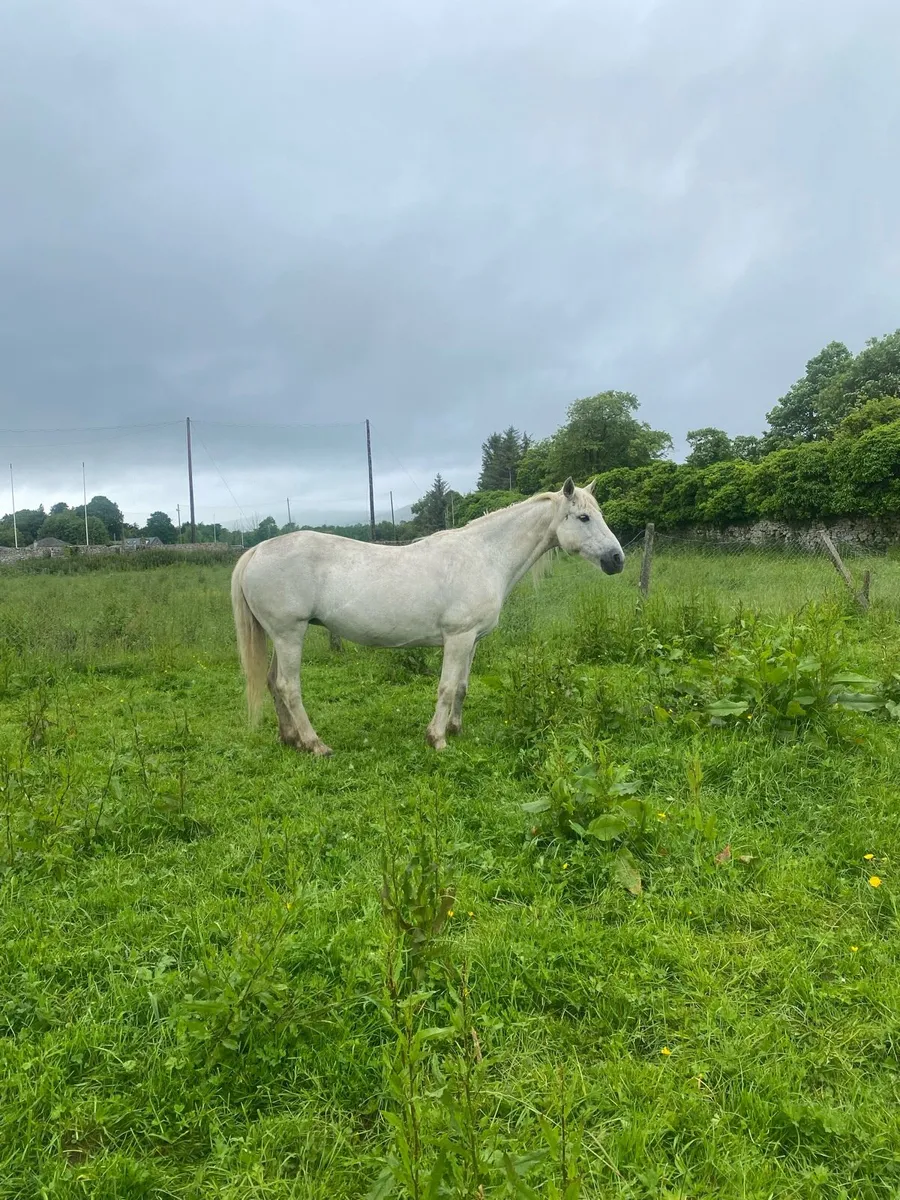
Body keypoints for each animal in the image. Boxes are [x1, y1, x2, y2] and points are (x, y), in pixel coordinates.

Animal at [231, 477, 624, 755]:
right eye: (584, 517)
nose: (617, 559)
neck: (484, 555)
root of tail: (257, 550)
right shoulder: (458, 637)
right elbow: (447, 688)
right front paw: (437, 739)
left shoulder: (472, 640)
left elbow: (462, 686)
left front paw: (455, 729)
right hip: (289, 634)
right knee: (288, 686)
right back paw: (315, 744)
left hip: (279, 637)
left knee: (272, 683)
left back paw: (290, 739)